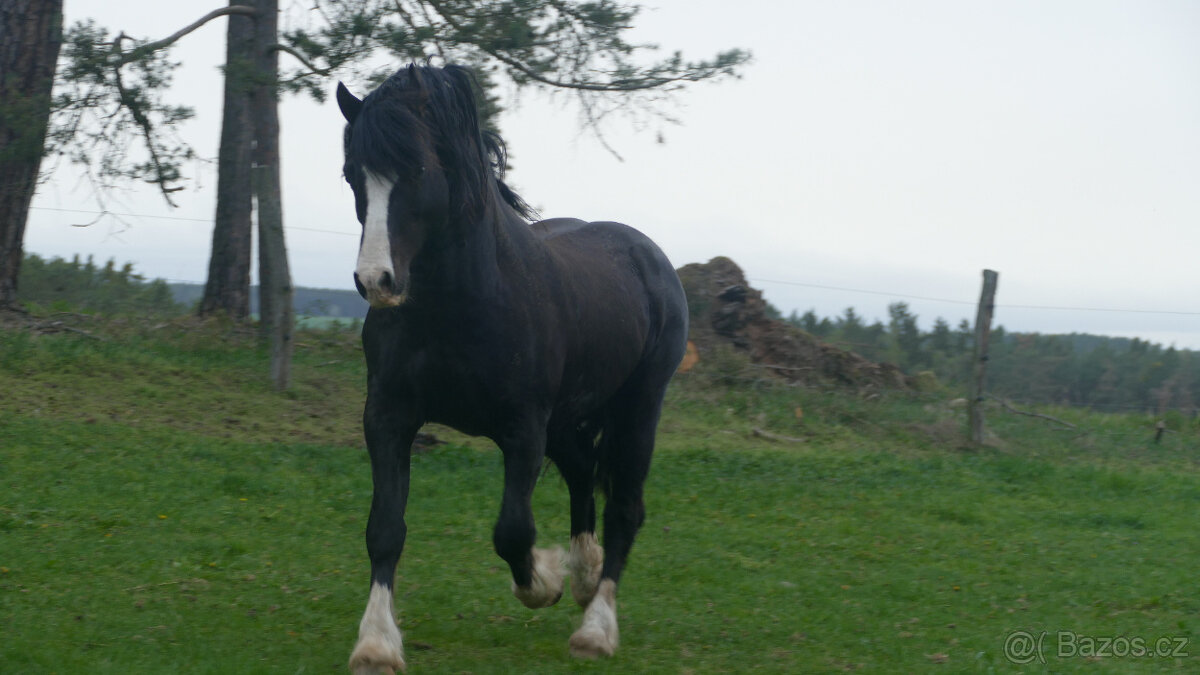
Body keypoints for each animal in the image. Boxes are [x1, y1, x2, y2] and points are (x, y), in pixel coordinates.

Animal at [336, 64, 689, 673]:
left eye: (417, 168)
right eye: (353, 173)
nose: (376, 281)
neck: (461, 304)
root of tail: (649, 256)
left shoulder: (522, 429)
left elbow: (512, 531)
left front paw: (543, 581)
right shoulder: (387, 417)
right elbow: (384, 528)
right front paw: (377, 643)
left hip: (637, 410)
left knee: (624, 509)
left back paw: (596, 627)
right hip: (567, 419)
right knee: (582, 473)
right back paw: (586, 576)